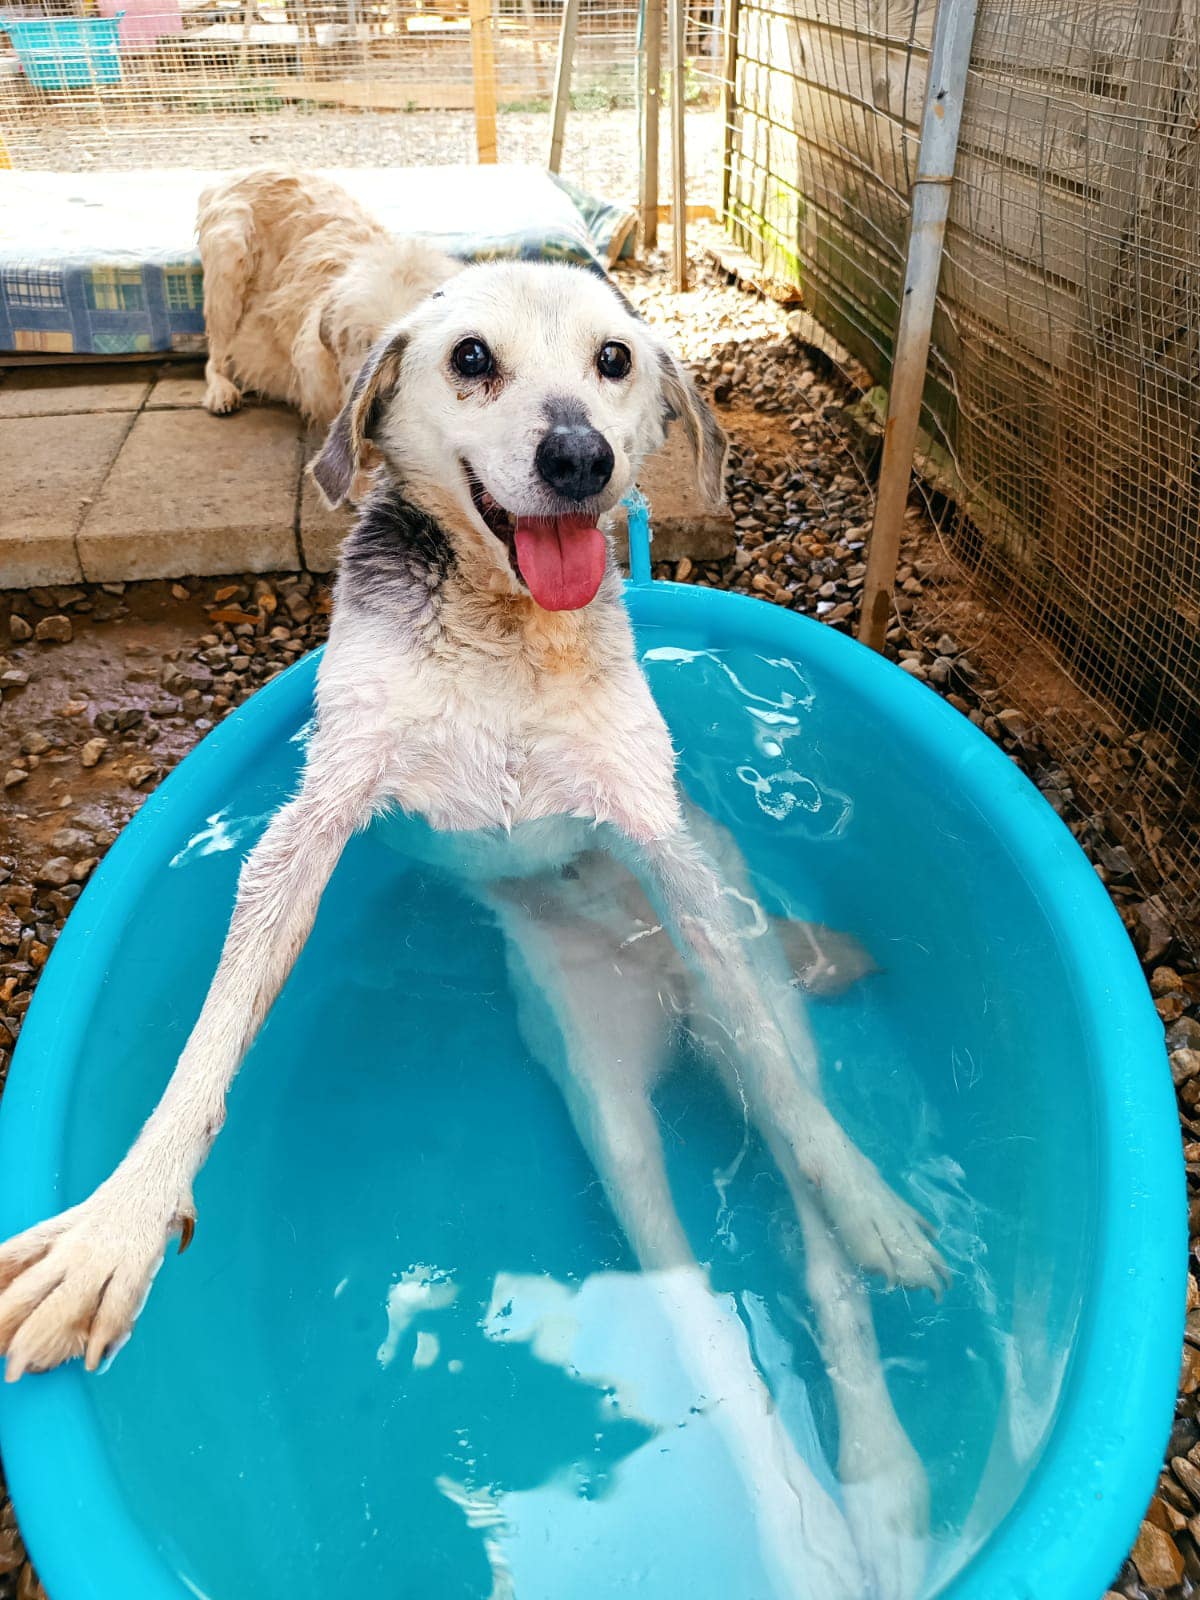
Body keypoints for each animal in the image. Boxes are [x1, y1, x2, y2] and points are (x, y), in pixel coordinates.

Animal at [0, 262, 943, 1598]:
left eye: (615, 360)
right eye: (471, 360)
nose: (579, 458)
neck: (509, 630)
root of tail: (660, 988)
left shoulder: (659, 841)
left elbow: (794, 1108)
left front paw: (866, 1191)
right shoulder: (315, 821)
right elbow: (208, 1046)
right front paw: (116, 1229)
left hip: (741, 968)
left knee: (806, 1205)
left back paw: (883, 1473)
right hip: (599, 1084)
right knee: (699, 1298)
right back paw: (811, 1532)